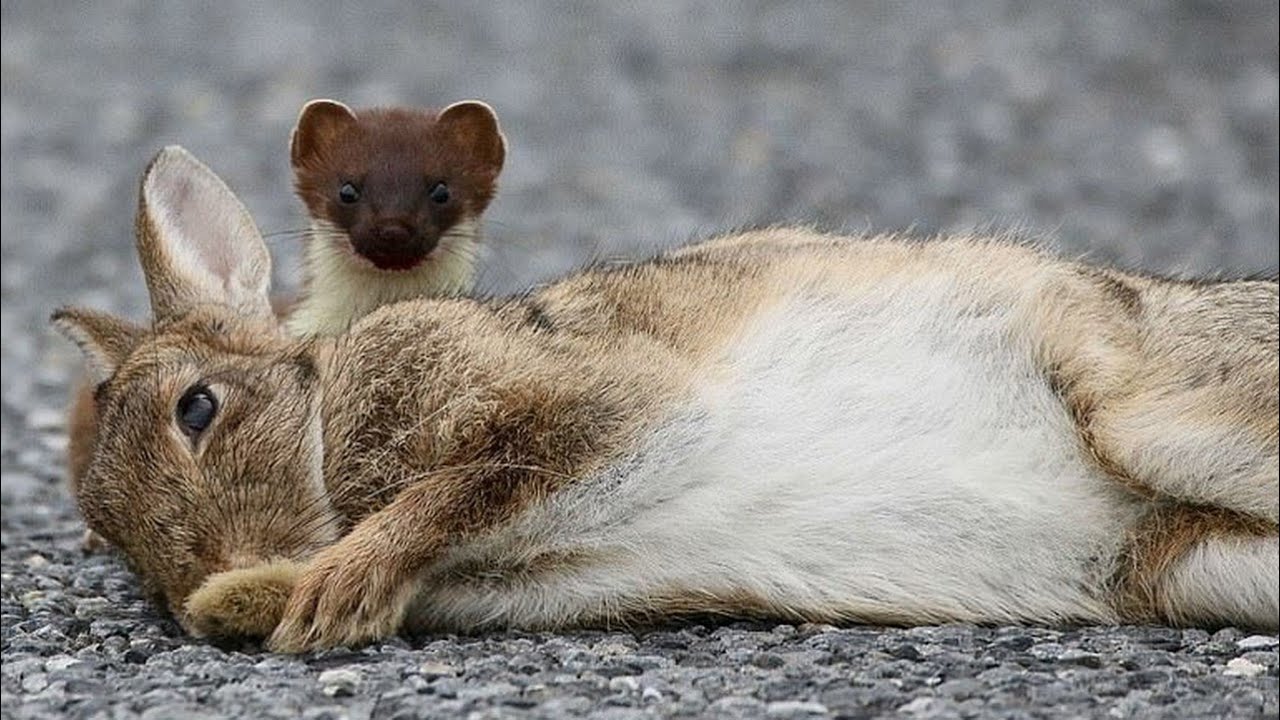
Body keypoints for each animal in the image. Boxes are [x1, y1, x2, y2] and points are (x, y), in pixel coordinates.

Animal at [55, 146, 1274, 650]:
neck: (322, 404)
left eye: (199, 410)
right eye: (103, 528)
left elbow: (467, 483)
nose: (198, 585)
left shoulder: (591, 399)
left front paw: (327, 595)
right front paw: (257, 603)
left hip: (1143, 411)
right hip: (1181, 564)